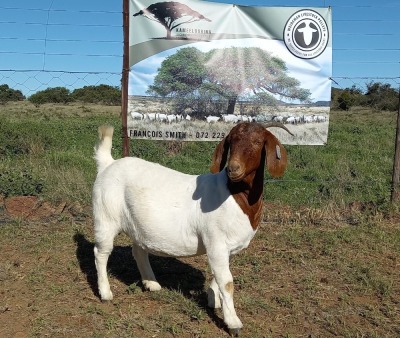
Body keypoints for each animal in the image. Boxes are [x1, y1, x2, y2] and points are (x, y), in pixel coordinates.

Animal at [93, 122, 290, 336]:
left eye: (257, 141)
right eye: (231, 141)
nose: (233, 168)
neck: (235, 195)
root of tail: (108, 164)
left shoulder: (226, 248)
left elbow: (218, 275)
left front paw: (214, 300)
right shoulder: (216, 241)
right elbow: (227, 282)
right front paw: (233, 323)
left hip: (138, 225)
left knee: (138, 251)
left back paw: (151, 283)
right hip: (105, 216)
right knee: (101, 252)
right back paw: (105, 293)